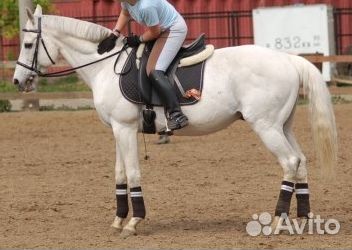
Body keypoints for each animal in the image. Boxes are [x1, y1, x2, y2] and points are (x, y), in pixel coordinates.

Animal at [14, 5, 338, 236]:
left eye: (28, 44)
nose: (18, 81)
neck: (106, 67)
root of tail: (288, 59)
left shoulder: (125, 129)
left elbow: (133, 174)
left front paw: (134, 222)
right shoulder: (118, 130)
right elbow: (119, 174)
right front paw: (118, 219)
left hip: (266, 127)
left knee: (290, 162)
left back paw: (278, 220)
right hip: (283, 126)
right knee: (301, 160)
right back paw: (302, 219)